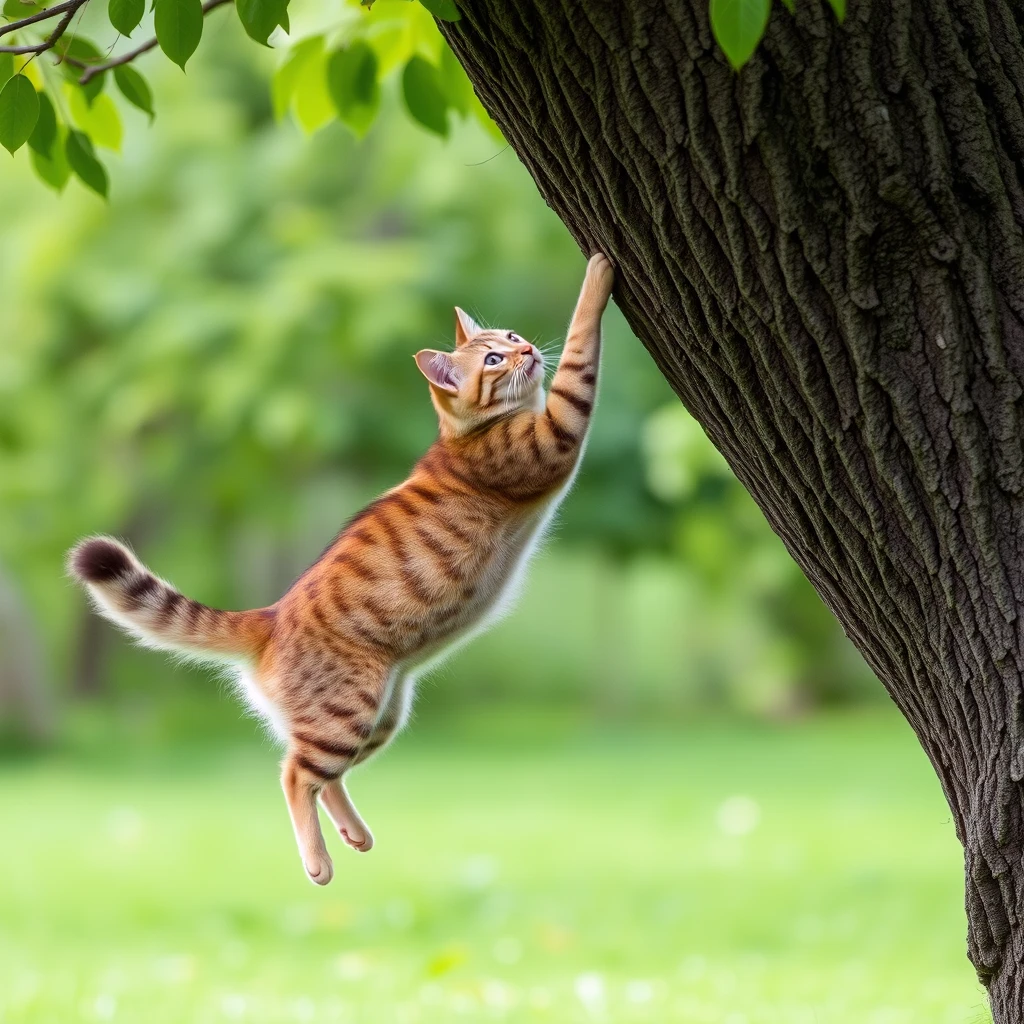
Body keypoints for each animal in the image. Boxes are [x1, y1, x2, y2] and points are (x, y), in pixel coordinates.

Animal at [72, 251, 618, 884]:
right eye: (493, 359)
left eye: (507, 337)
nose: (526, 348)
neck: (466, 433)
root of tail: (269, 617)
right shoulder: (559, 430)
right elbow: (581, 346)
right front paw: (598, 274)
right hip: (349, 712)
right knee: (294, 774)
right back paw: (318, 861)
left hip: (384, 713)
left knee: (323, 777)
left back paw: (354, 834)